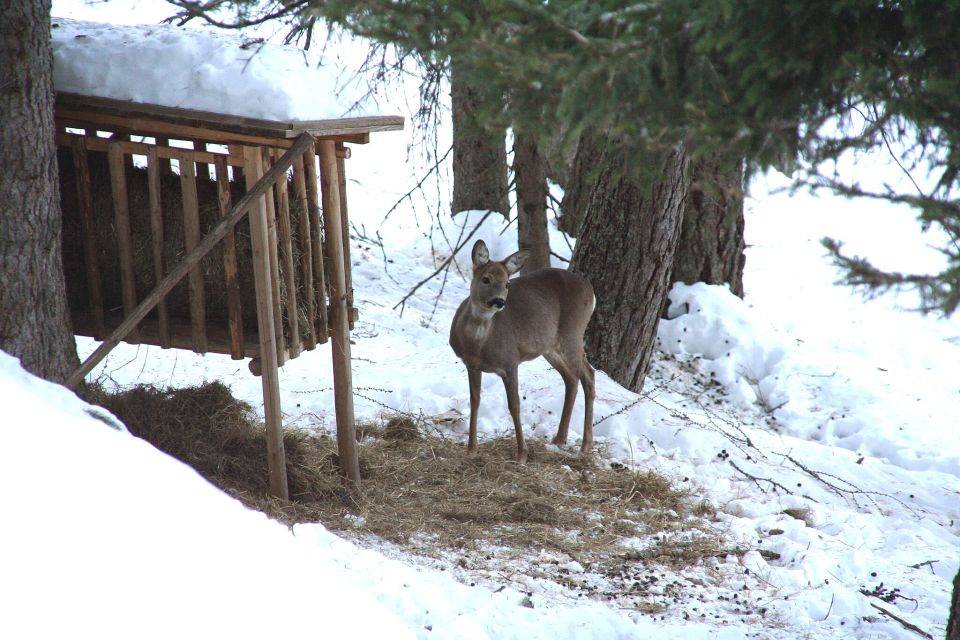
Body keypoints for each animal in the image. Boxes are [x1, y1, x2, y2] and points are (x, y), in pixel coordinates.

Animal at [448, 239, 596, 460]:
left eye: (507, 283)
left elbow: (515, 405)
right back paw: (559, 439)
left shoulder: (511, 361)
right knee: (572, 378)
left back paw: (585, 446)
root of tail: (591, 291)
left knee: (588, 374)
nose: (499, 301)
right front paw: (471, 449)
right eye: (486, 279)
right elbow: (475, 401)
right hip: (549, 347)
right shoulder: (471, 365)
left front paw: (522, 454)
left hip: (572, 334)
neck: (478, 344)